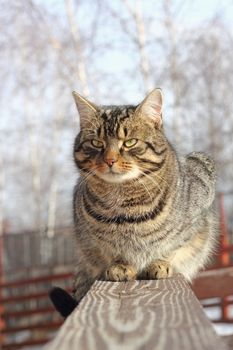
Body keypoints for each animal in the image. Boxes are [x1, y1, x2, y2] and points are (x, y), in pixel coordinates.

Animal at [50, 87, 218, 318]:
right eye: (96, 143)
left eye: (129, 142)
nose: (109, 160)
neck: (123, 202)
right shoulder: (92, 242)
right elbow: (111, 252)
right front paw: (120, 266)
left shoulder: (199, 210)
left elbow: (174, 245)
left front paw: (160, 263)